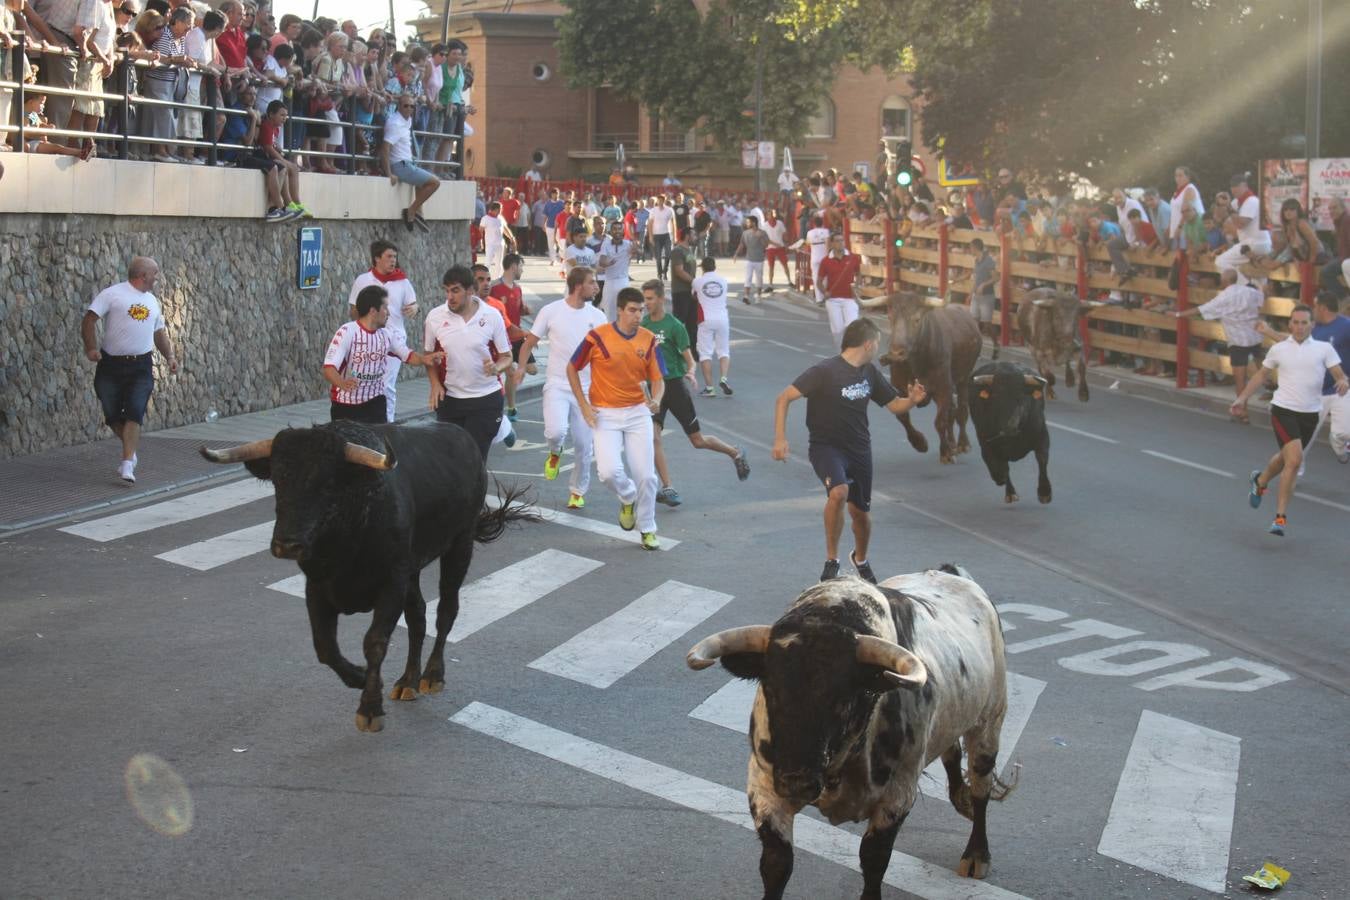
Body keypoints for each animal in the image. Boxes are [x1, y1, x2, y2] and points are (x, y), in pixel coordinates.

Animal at [201, 423, 537, 734]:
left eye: (327, 483)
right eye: (278, 480)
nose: (286, 545)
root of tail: (461, 435)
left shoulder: (391, 584)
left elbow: (375, 642)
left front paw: (370, 708)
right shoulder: (318, 587)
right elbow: (324, 646)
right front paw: (359, 677)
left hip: (459, 544)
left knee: (446, 611)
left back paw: (432, 676)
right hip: (413, 568)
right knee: (418, 617)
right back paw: (408, 681)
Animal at [685, 566, 1015, 895]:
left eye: (843, 699)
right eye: (771, 688)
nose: (796, 782)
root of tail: (949, 573)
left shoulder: (897, 797)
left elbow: (873, 861)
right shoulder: (765, 787)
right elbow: (776, 864)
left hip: (990, 723)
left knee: (981, 787)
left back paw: (976, 853)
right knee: (952, 752)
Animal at [864, 292, 982, 464]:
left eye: (917, 319)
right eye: (891, 317)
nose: (896, 352)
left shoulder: (943, 388)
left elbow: (940, 421)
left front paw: (945, 452)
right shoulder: (900, 389)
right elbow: (903, 416)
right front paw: (920, 443)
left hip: (963, 380)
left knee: (961, 410)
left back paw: (962, 444)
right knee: (952, 412)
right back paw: (952, 443)